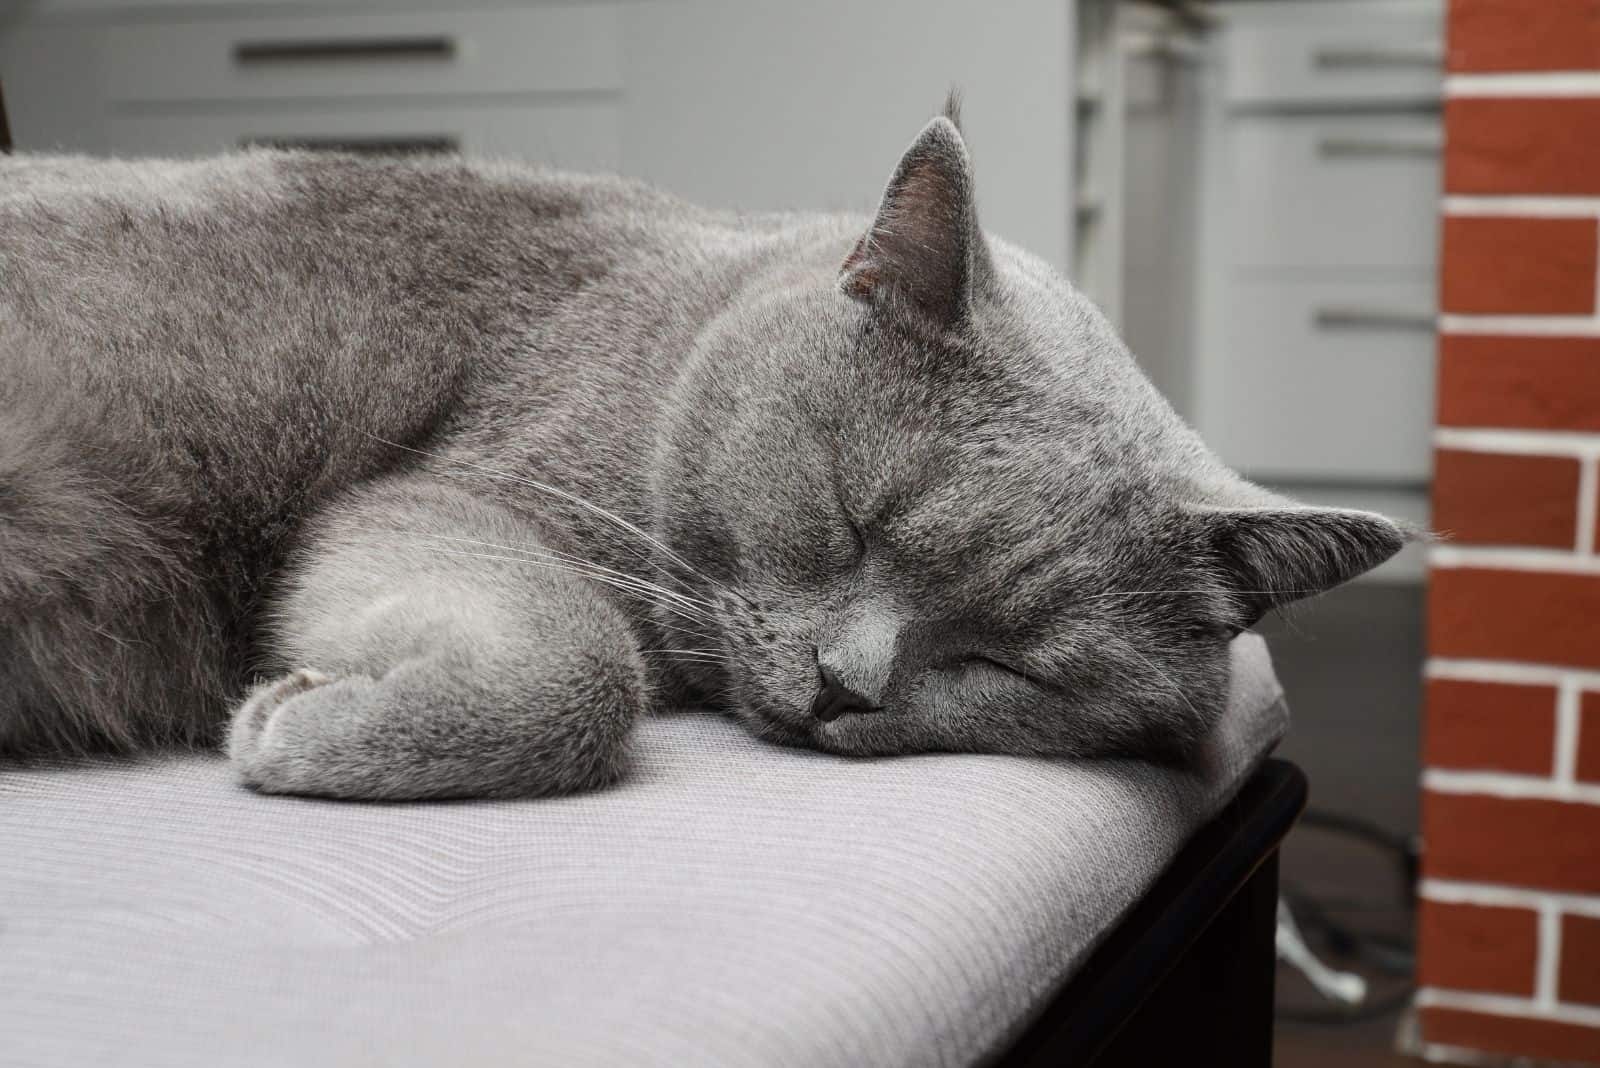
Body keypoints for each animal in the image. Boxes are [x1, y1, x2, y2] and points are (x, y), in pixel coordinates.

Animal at [0, 102, 1401, 799]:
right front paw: (303, 726)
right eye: (848, 516)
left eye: (1013, 664)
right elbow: (581, 661)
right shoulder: (461, 489)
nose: (844, 687)